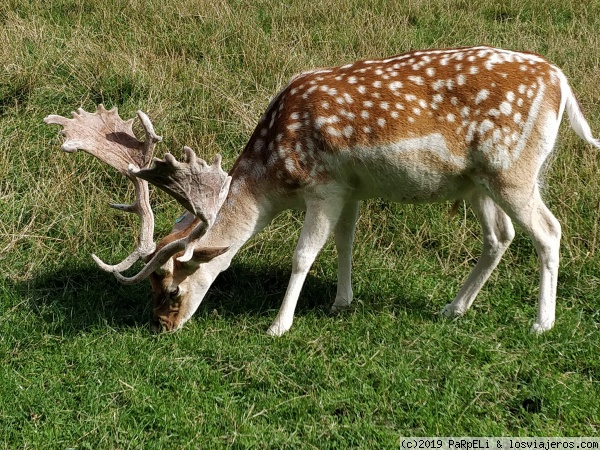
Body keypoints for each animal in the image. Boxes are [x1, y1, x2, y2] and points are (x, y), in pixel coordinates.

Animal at [45, 46, 600, 334]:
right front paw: (341, 301)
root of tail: (562, 83)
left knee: (548, 231)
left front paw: (279, 325)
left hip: (514, 170)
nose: (163, 325)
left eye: (172, 286)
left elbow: (303, 254)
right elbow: (345, 242)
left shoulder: (324, 186)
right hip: (479, 183)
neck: (274, 177)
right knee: (500, 237)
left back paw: (541, 324)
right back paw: (452, 308)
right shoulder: (351, 189)